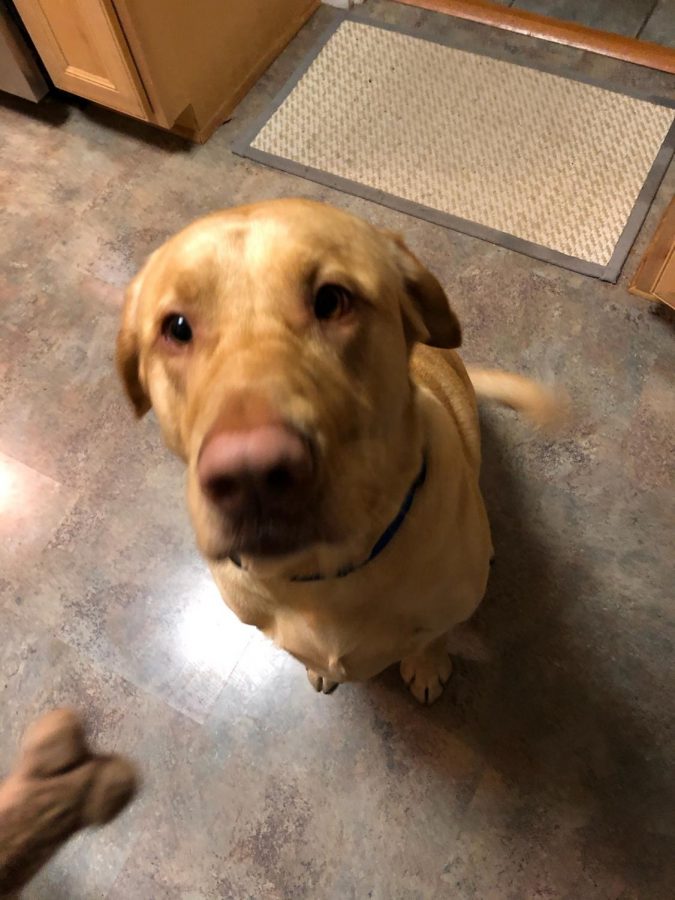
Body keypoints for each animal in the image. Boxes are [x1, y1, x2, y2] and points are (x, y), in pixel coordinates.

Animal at [117, 200, 560, 708]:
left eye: (331, 300)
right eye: (177, 327)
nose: (252, 474)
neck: (323, 578)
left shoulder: (447, 607)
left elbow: (434, 637)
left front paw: (427, 666)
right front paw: (319, 668)